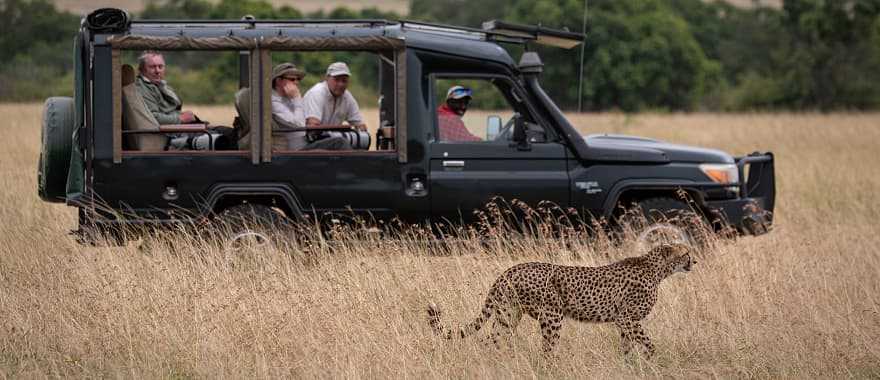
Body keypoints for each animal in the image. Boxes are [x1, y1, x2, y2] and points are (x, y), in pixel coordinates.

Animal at [426, 243, 696, 356]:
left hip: (508, 315)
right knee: (546, 348)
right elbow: (648, 343)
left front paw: (629, 365)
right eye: (686, 253)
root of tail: (509, 270)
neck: (658, 270)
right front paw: (650, 359)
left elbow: (628, 346)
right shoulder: (626, 318)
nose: (695, 261)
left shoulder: (624, 323)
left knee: (492, 340)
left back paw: (497, 362)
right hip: (552, 316)